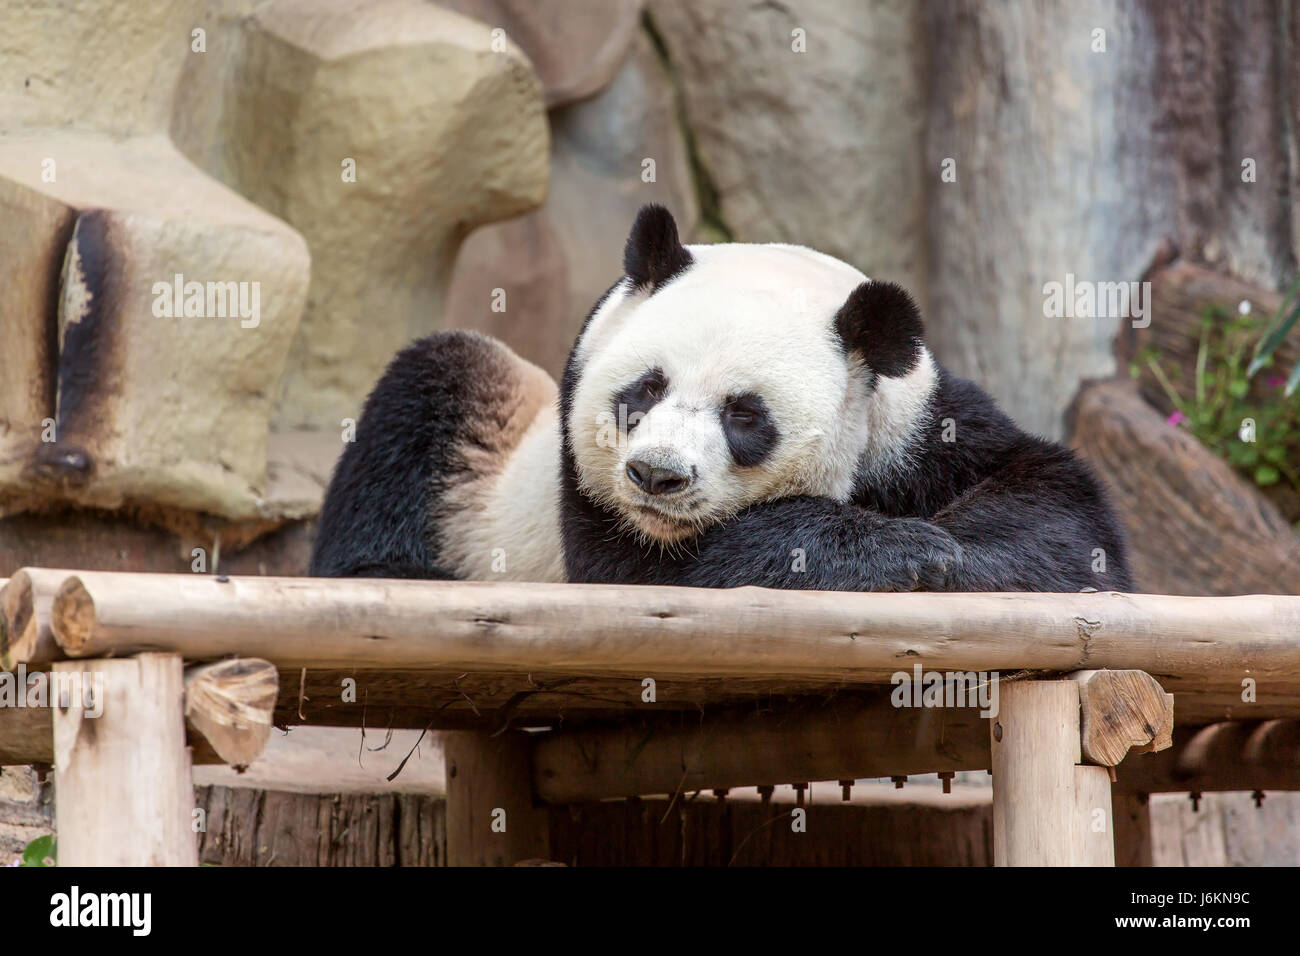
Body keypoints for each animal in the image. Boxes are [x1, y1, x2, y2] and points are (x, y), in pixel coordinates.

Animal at [309, 204, 1133, 590]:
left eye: (744, 414)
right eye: (644, 390)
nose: (657, 476)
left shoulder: (920, 423)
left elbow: (1059, 511)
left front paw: (950, 551)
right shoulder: (578, 473)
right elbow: (638, 569)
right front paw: (900, 549)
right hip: (493, 462)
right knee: (429, 390)